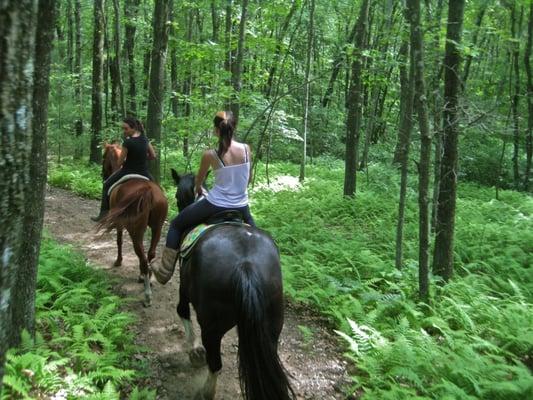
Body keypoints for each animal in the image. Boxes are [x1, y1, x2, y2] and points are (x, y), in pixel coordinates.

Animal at [97, 178, 166, 306]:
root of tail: (148, 190)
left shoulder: (119, 222)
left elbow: (119, 241)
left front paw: (118, 261)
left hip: (136, 232)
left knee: (142, 258)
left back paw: (147, 296)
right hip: (157, 228)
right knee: (150, 254)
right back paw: (146, 278)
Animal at [171, 170, 294, 400]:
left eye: (176, 195)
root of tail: (246, 265)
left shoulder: (183, 288)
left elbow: (182, 311)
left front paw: (194, 351)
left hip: (212, 327)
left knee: (215, 364)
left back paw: (205, 391)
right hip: (272, 325)